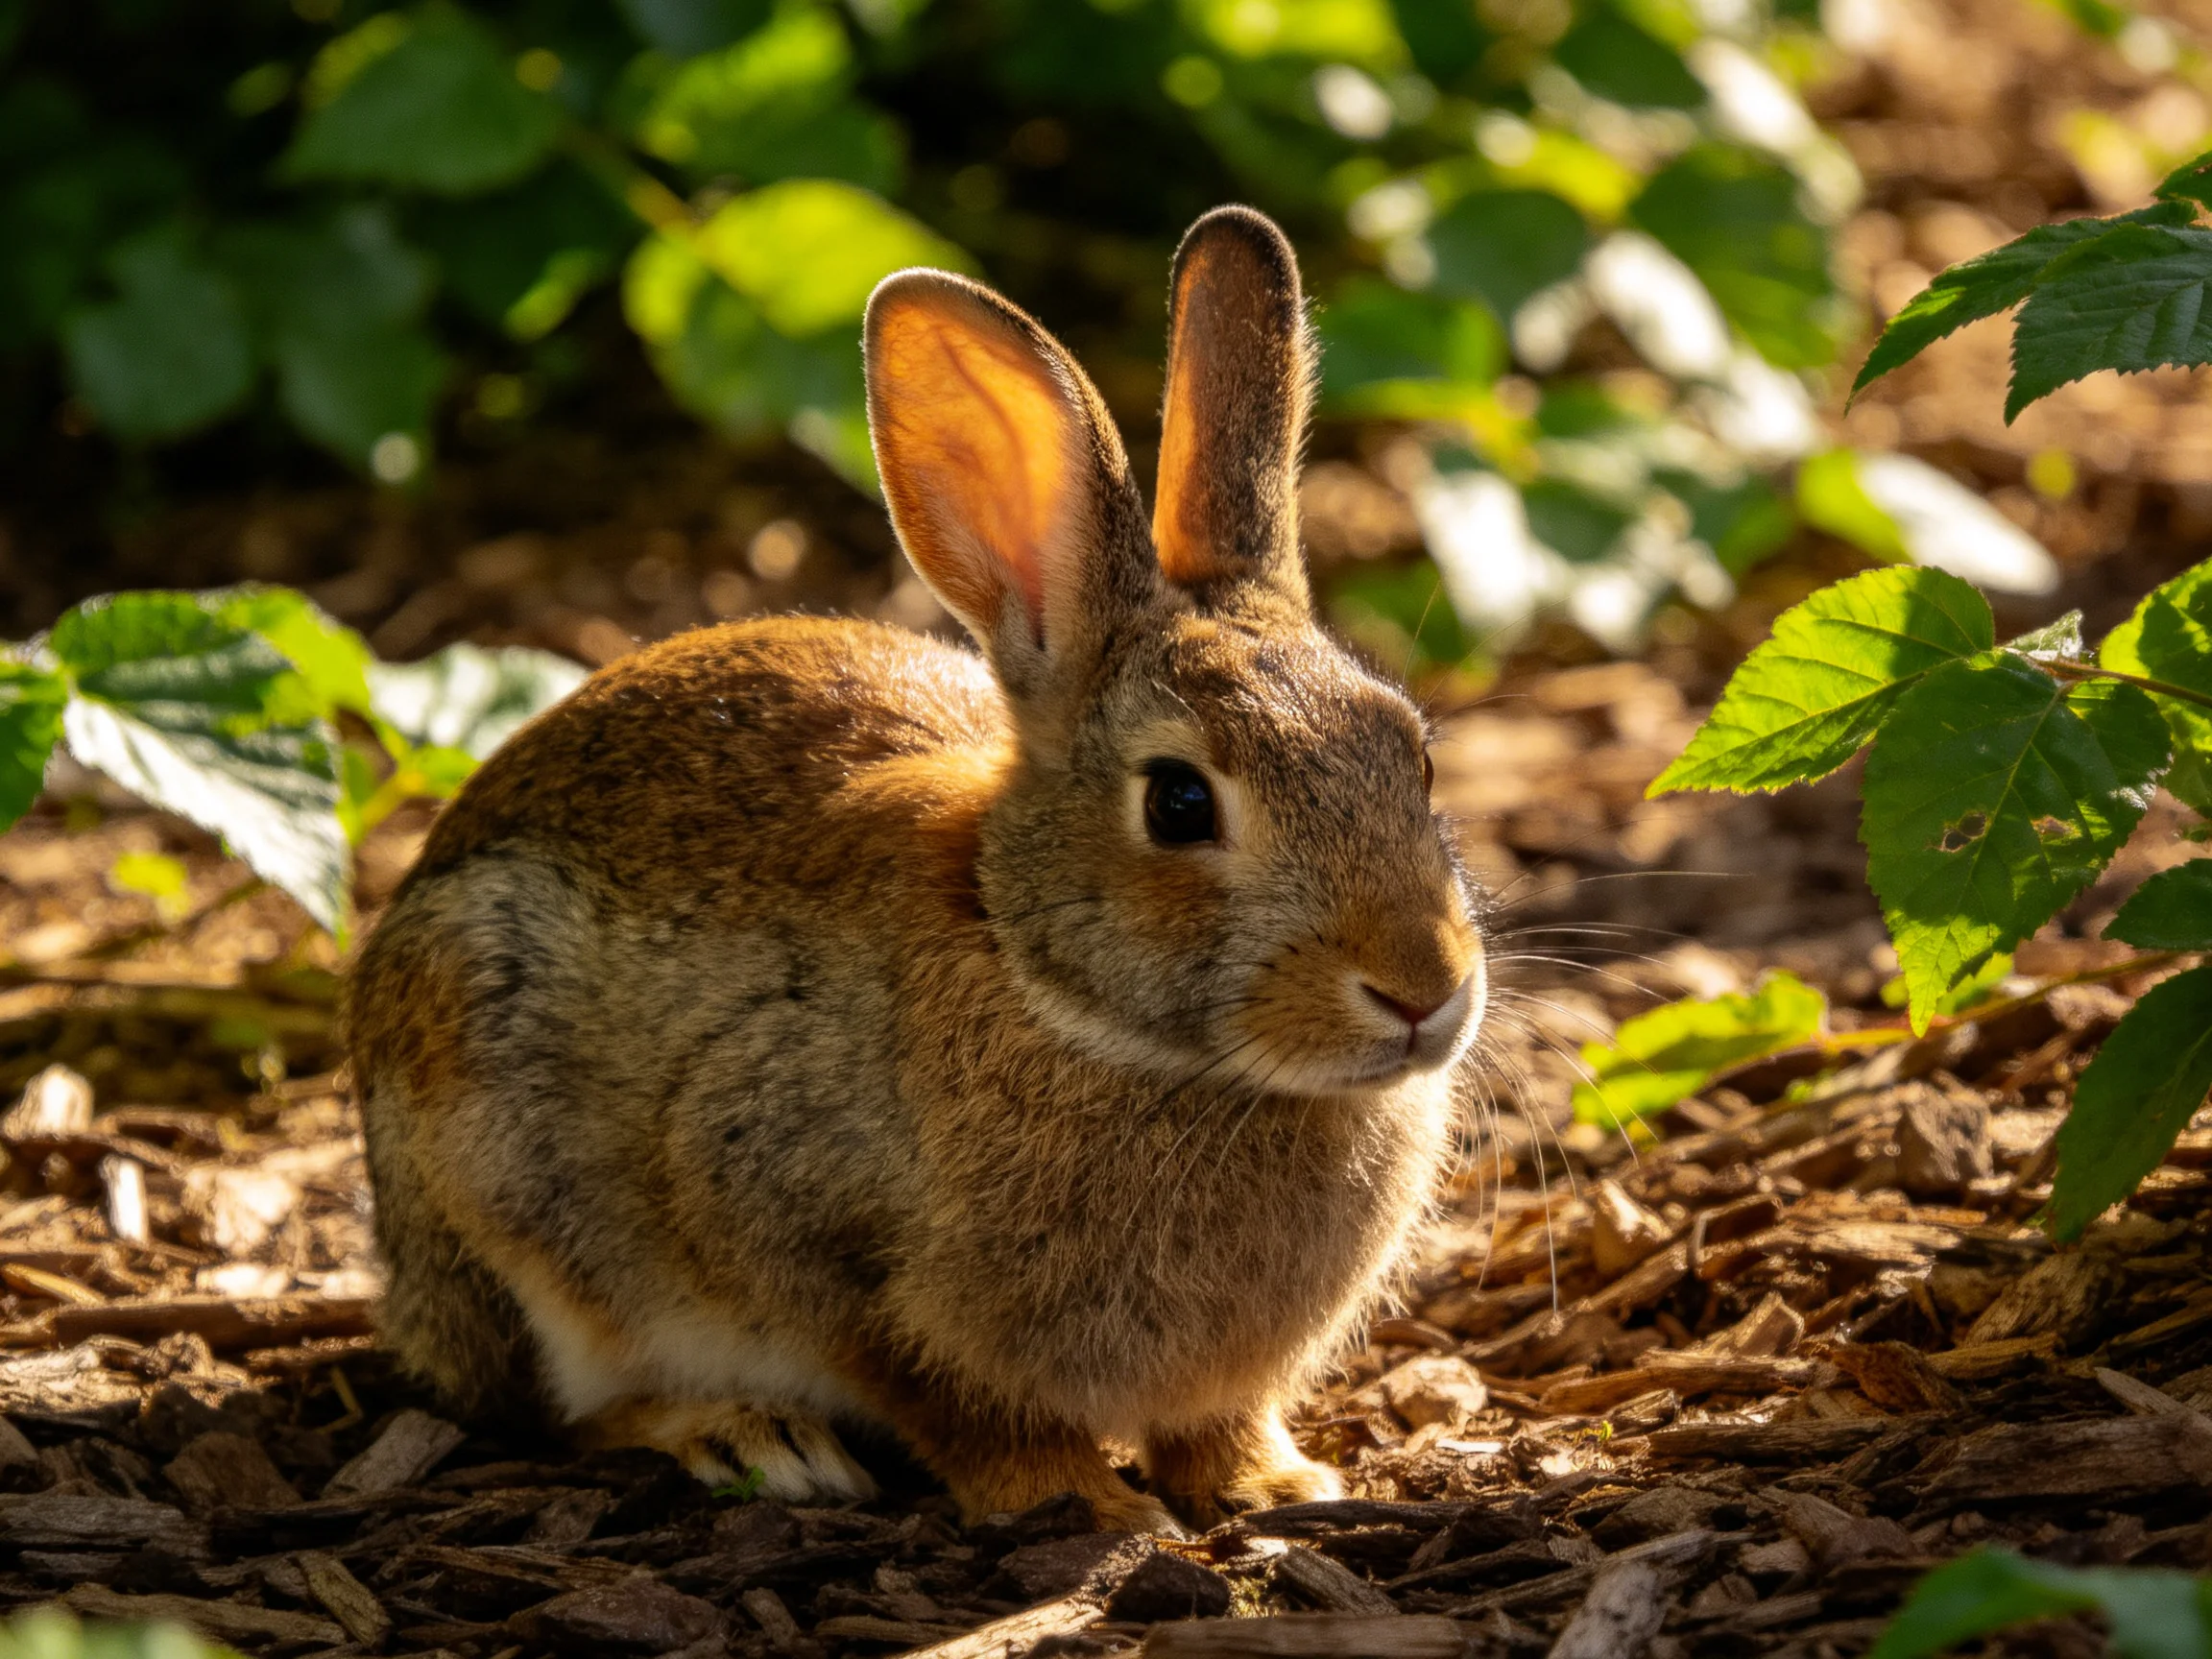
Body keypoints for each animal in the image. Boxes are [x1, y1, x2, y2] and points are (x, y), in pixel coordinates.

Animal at [346, 204, 1486, 1534]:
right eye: (1180, 803)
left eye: (1410, 751)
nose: (1423, 992)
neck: (1052, 984)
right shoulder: (792, 1218)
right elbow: (943, 1394)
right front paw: (1086, 1506)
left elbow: (1215, 1422)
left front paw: (1272, 1484)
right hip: (491, 1156)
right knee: (552, 1406)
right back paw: (745, 1434)